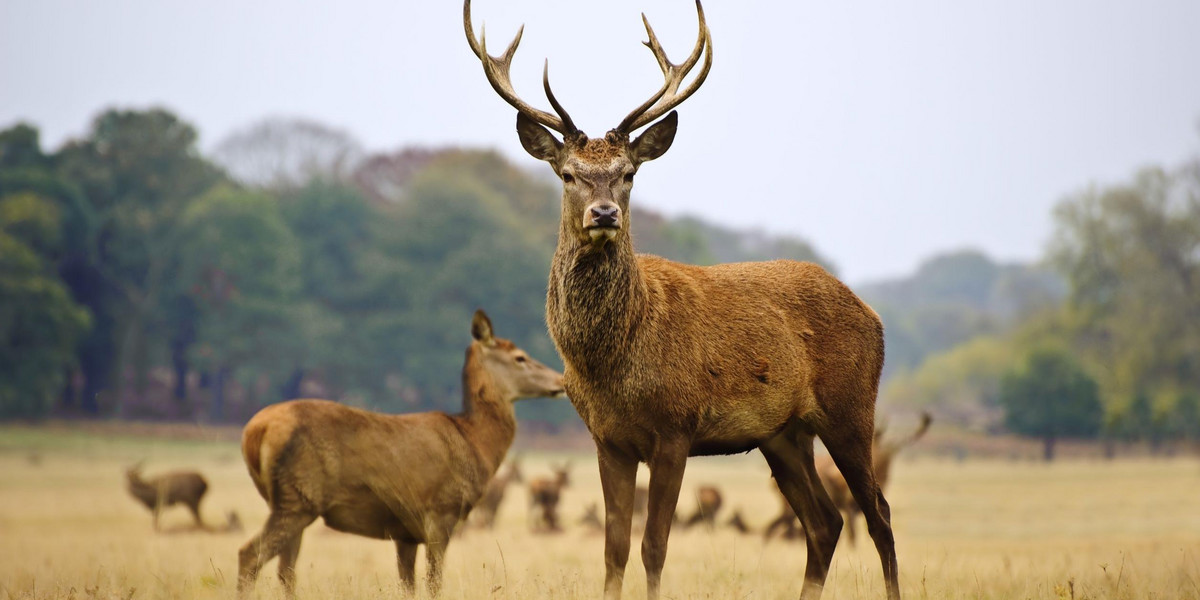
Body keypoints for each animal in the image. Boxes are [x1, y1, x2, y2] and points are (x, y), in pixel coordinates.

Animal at [238, 312, 566, 597]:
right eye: (520, 357)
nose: (561, 380)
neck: (476, 442)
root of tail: (254, 432)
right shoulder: (441, 510)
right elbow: (434, 582)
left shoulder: (405, 531)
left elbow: (408, 585)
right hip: (298, 496)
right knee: (249, 555)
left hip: (286, 500)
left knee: (285, 570)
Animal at [468, 2, 902, 597]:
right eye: (568, 174)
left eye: (629, 173)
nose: (604, 213)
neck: (612, 362)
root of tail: (872, 314)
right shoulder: (607, 439)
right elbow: (614, 549)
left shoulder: (676, 428)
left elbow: (654, 547)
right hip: (783, 434)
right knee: (825, 521)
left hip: (851, 406)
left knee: (878, 514)